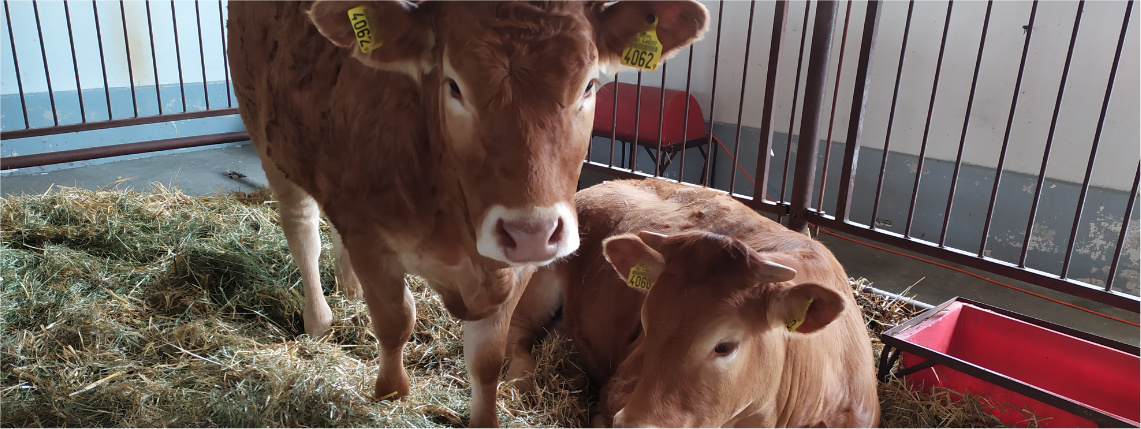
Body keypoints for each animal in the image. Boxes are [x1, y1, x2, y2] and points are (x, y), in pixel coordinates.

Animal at [511, 177, 880, 426]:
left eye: (724, 346)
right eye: (645, 323)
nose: (634, 423)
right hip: (539, 280)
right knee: (517, 331)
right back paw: (522, 380)